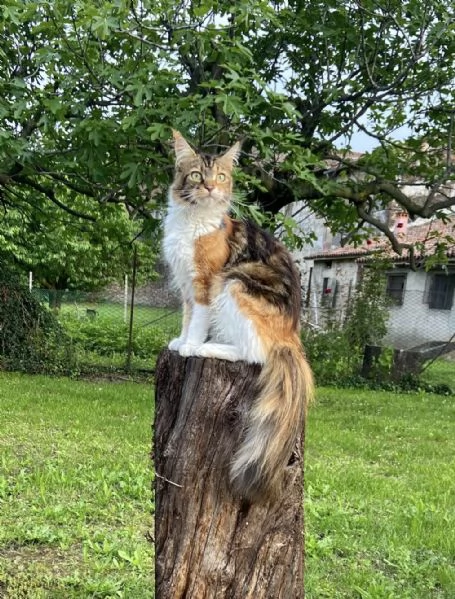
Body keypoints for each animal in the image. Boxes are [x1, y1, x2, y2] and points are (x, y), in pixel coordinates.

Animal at [163, 130, 314, 502]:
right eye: (196, 175)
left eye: (220, 177)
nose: (209, 189)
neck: (192, 221)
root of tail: (292, 340)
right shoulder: (185, 285)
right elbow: (187, 317)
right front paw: (179, 341)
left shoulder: (205, 282)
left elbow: (198, 320)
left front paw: (190, 346)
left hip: (235, 285)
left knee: (253, 353)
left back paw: (209, 348)